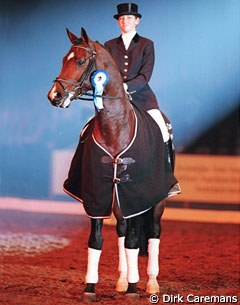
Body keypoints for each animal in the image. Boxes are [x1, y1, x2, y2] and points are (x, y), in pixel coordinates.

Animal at [47, 27, 180, 300]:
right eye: (64, 59)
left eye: (80, 61)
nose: (54, 95)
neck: (115, 127)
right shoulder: (96, 193)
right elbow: (97, 240)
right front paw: (91, 287)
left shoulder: (138, 195)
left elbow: (134, 241)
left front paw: (134, 288)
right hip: (118, 199)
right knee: (121, 230)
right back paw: (121, 279)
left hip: (157, 199)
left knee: (153, 232)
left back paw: (151, 283)